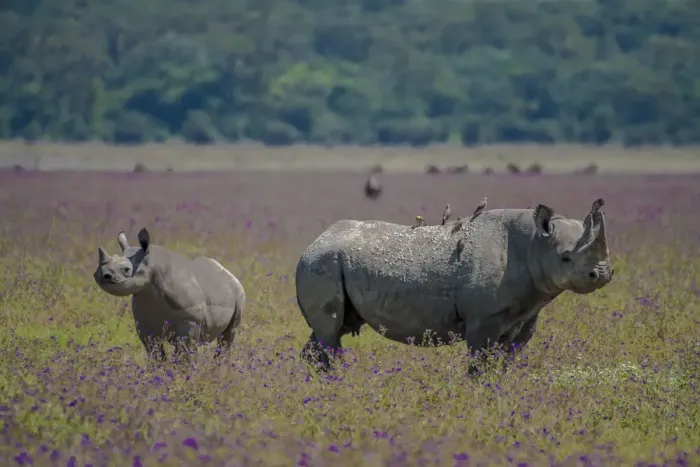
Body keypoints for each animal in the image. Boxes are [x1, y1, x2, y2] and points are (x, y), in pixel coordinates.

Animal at [93, 228, 246, 361]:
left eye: (126, 269)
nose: (101, 275)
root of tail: (226, 271)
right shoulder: (145, 324)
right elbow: (154, 352)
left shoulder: (190, 321)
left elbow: (185, 351)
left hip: (238, 291)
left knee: (229, 333)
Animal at [295, 199, 613, 370]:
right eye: (565, 259)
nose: (602, 275)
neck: (536, 242)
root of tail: (314, 241)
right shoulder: (484, 319)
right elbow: (480, 364)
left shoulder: (526, 315)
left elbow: (506, 362)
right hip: (321, 262)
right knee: (329, 331)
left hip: (327, 261)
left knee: (331, 330)